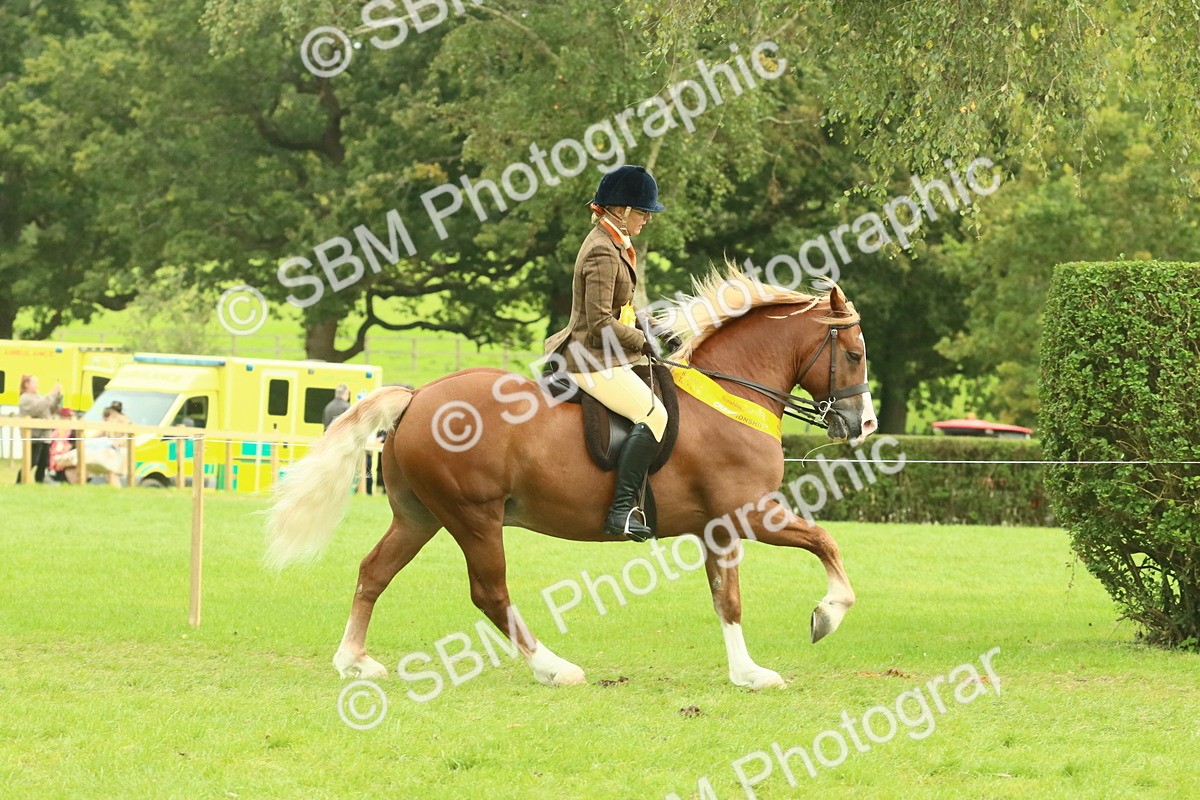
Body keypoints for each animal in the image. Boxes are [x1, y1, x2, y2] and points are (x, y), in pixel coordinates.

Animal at [265, 271, 877, 690]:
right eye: (853, 354)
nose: (864, 425)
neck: (730, 396)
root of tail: (418, 397)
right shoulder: (748, 514)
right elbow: (822, 542)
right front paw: (825, 617)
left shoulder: (718, 528)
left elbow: (726, 597)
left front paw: (747, 672)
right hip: (474, 516)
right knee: (489, 592)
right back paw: (554, 668)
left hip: (419, 515)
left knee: (374, 571)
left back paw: (354, 660)